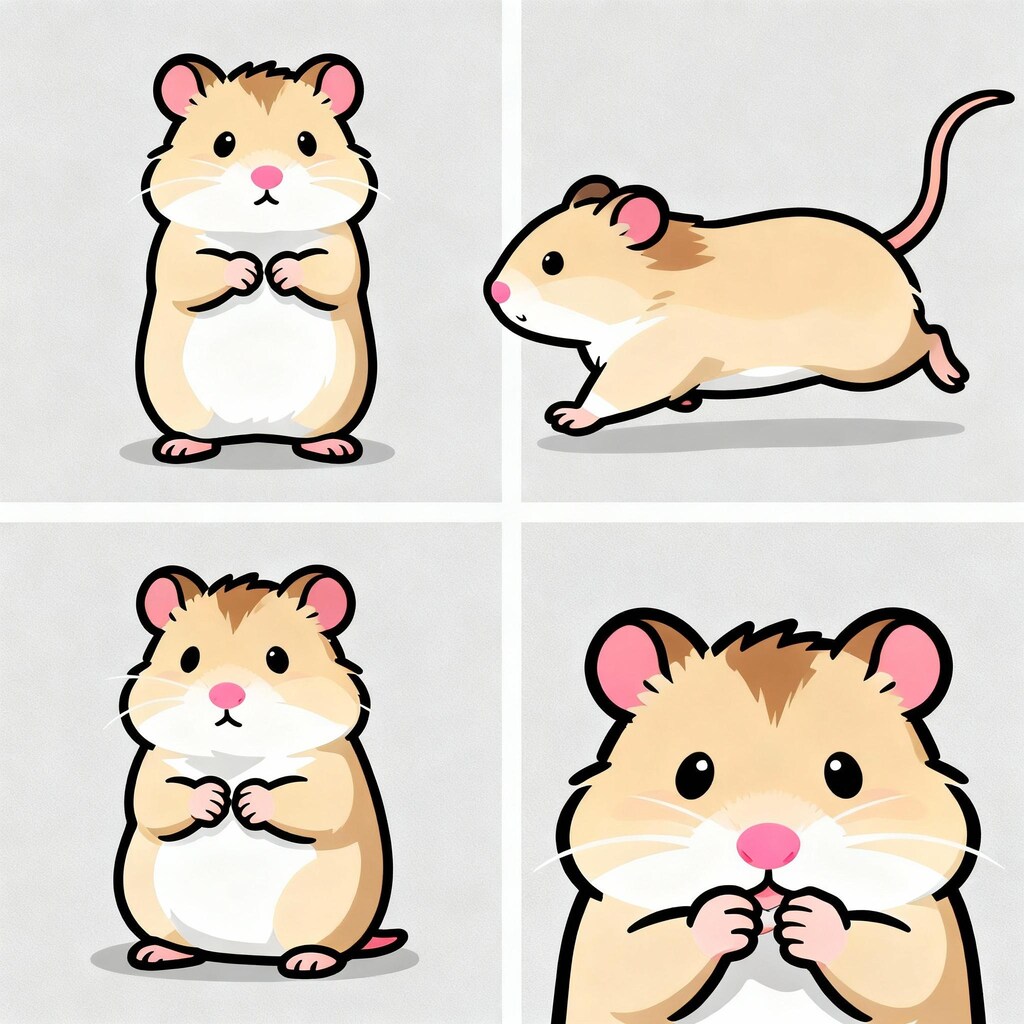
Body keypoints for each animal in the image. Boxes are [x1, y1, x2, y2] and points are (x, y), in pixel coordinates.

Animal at [114, 565, 406, 977]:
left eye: (277, 658)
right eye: (189, 658)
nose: (225, 693)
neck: (236, 756)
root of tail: (243, 955)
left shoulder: (336, 774)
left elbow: (315, 805)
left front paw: (247, 799)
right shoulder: (151, 770)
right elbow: (157, 804)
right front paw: (216, 797)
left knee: (323, 943)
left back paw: (308, 961)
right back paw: (157, 953)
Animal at [137, 55, 378, 463]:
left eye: (307, 142)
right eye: (223, 143)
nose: (268, 175)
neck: (262, 233)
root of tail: (255, 432)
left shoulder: (343, 246)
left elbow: (333, 272)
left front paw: (278, 270)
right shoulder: (174, 250)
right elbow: (193, 272)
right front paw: (250, 270)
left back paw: (333, 447)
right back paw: (181, 447)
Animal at [485, 91, 1013, 435]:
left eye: (552, 262)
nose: (495, 292)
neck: (644, 293)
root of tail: (886, 243)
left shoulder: (651, 354)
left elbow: (612, 392)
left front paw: (567, 416)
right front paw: (686, 401)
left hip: (868, 359)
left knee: (932, 335)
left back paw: (953, 376)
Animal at [552, 608, 985, 1022]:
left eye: (844, 772)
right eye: (693, 772)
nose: (767, 848)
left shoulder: (928, 923)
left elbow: (905, 971)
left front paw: (806, 918)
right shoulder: (604, 928)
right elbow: (630, 968)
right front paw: (728, 914)